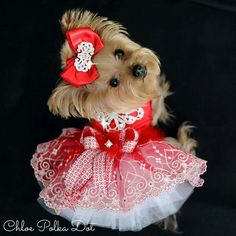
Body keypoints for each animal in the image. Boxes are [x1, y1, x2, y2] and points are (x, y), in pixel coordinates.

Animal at [33, 9, 205, 232]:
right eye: (114, 83)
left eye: (120, 53)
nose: (139, 69)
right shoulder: (150, 108)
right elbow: (158, 99)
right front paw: (160, 86)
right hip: (171, 146)